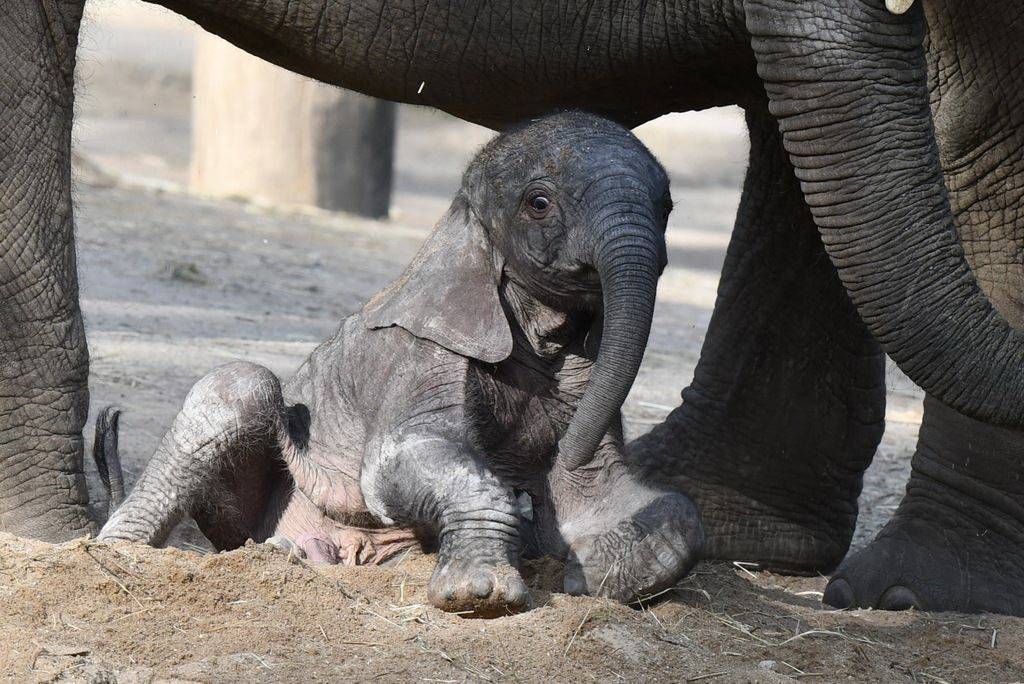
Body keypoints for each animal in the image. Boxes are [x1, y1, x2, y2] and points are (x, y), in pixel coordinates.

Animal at [96, 112, 703, 616]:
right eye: (539, 203)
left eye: (667, 209)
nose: (536, 487)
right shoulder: (423, 354)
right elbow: (397, 461)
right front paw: (481, 596)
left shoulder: (582, 377)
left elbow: (634, 503)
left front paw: (584, 577)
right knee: (241, 384)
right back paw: (124, 553)